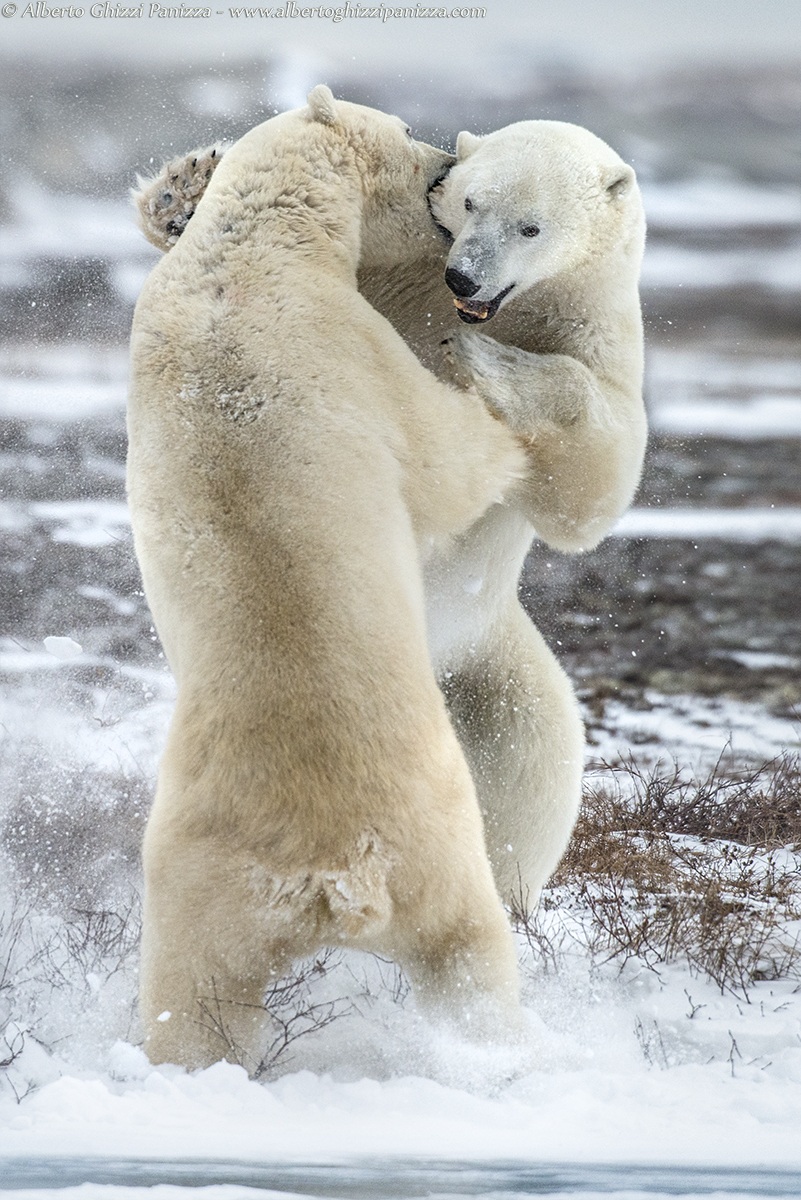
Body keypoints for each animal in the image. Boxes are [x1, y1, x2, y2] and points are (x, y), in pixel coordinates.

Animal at [130, 88, 582, 1075]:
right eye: (412, 138)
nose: (446, 164)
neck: (251, 249)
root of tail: (331, 878)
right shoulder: (349, 347)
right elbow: (442, 458)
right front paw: (505, 414)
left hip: (200, 885)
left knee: (195, 999)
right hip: (437, 842)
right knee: (468, 954)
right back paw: (504, 1050)